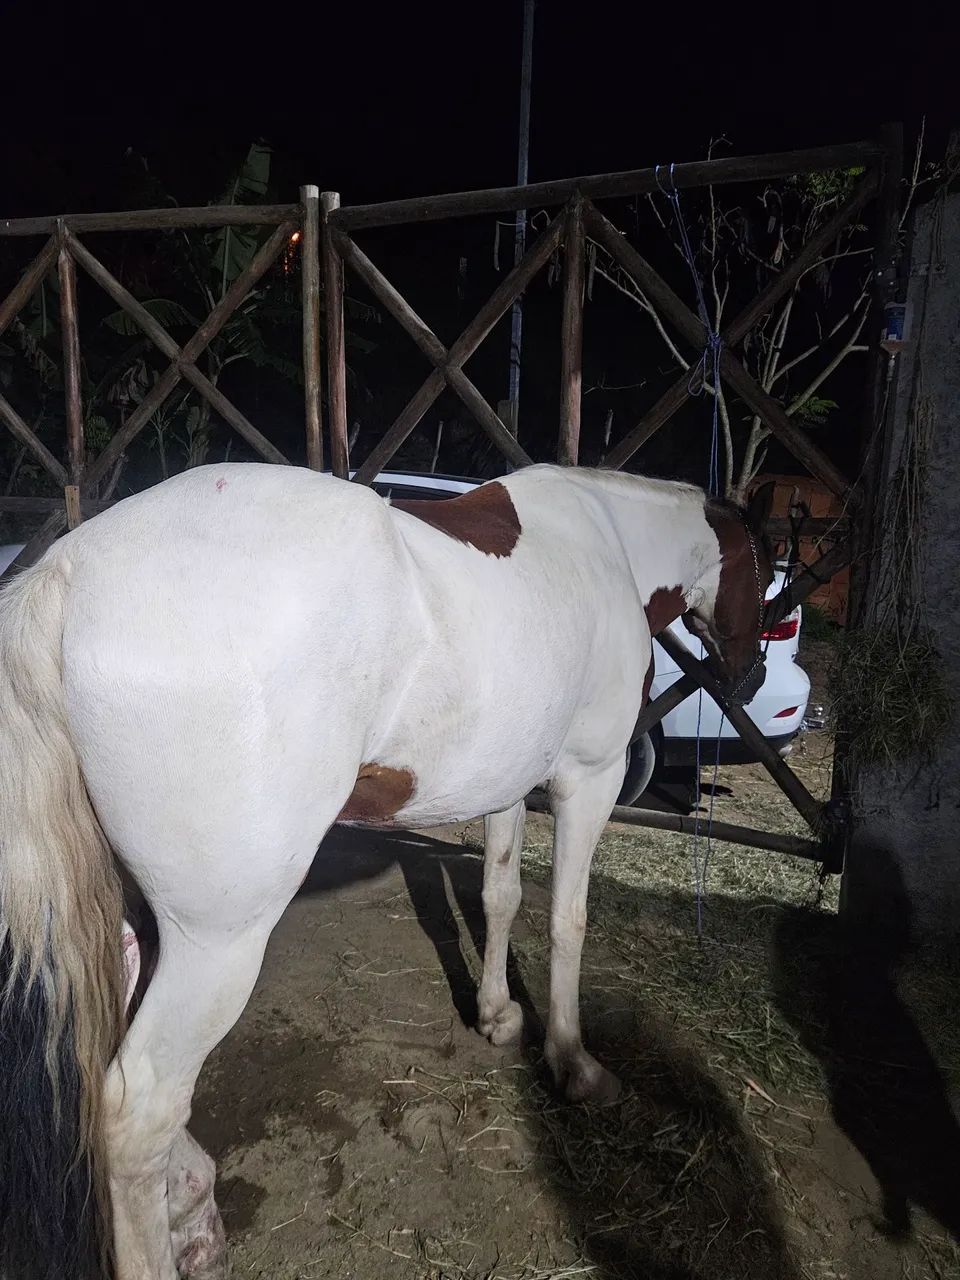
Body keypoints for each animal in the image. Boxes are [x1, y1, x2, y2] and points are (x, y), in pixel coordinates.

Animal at [0, 461, 773, 1280]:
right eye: (765, 566)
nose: (750, 676)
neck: (607, 540)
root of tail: (69, 571)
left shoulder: (507, 784)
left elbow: (500, 896)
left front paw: (497, 1015)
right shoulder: (587, 780)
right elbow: (568, 921)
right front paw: (574, 1063)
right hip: (217, 940)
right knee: (136, 1111)